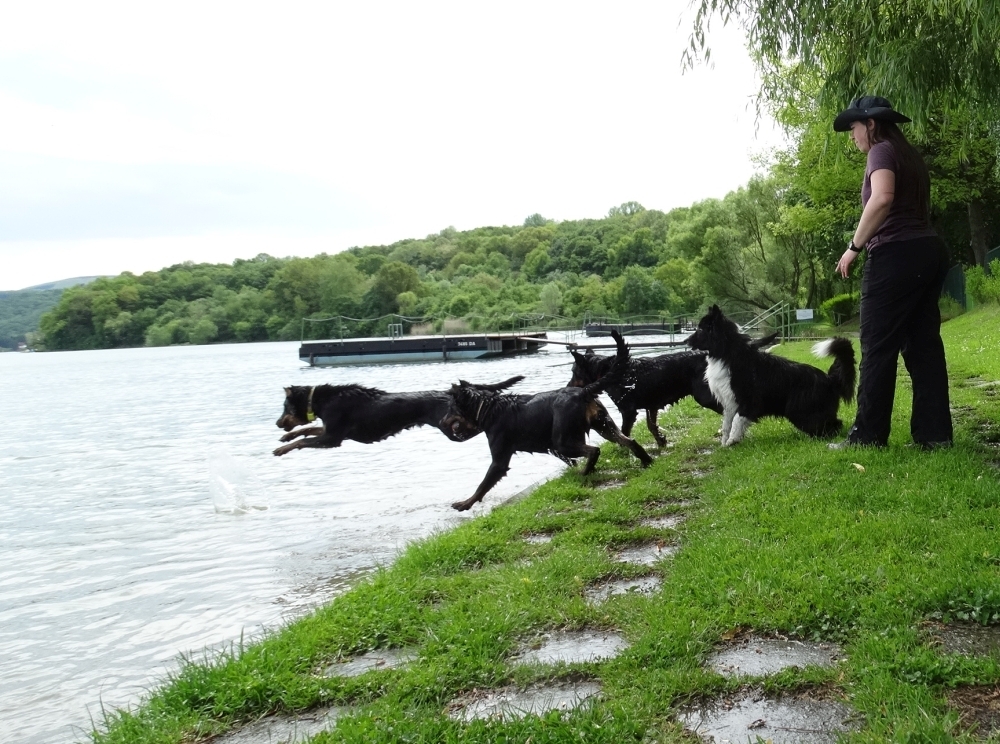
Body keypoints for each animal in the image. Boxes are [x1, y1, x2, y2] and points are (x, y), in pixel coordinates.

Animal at [688, 306, 860, 444]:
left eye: (701, 329)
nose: (685, 341)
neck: (727, 353)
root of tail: (830, 379)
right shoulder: (729, 402)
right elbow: (726, 425)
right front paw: (725, 443)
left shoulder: (748, 401)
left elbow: (737, 421)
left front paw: (732, 441)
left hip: (801, 412)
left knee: (833, 425)